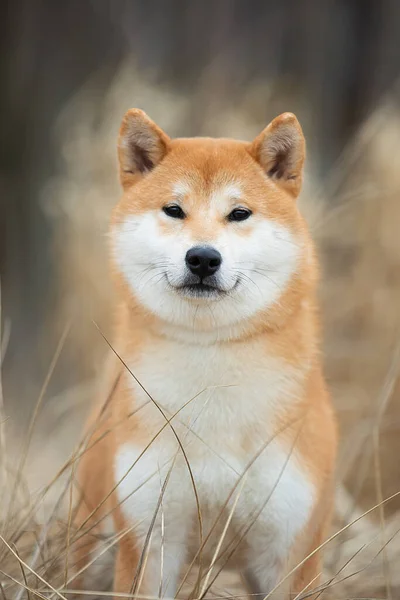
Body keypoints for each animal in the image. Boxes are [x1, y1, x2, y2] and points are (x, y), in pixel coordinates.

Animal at [72, 109, 338, 600]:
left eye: (239, 213)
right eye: (174, 210)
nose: (202, 258)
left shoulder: (290, 551)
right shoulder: (151, 543)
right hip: (93, 536)